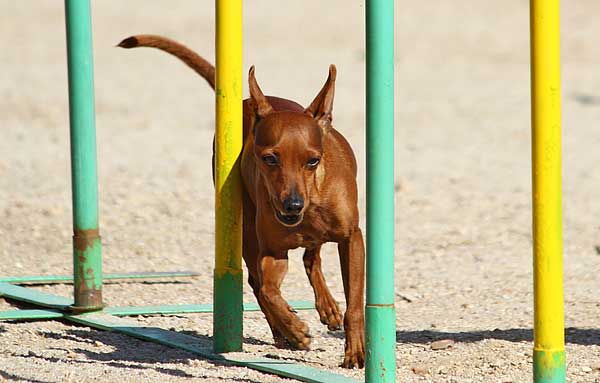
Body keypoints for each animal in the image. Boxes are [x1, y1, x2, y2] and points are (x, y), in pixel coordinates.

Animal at [115, 36, 364, 368]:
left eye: (313, 160)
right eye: (269, 158)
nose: (292, 205)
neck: (312, 201)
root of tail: (249, 101)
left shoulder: (352, 239)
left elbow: (355, 304)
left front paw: (355, 350)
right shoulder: (272, 250)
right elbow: (269, 290)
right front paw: (295, 328)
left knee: (311, 259)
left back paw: (327, 309)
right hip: (246, 231)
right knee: (259, 282)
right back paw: (284, 332)